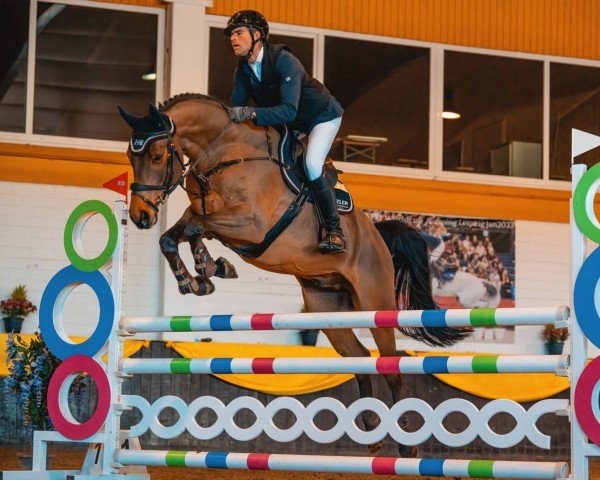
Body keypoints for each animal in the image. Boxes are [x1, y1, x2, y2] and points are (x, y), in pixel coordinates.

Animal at [118, 94, 474, 458]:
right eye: (130, 156)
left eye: (157, 156)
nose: (140, 216)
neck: (224, 152)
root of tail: (377, 236)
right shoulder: (209, 216)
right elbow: (178, 233)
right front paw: (201, 275)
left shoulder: (250, 225)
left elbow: (193, 228)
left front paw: (205, 270)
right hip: (327, 308)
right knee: (360, 358)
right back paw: (372, 430)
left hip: (376, 303)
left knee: (392, 365)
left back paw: (405, 444)